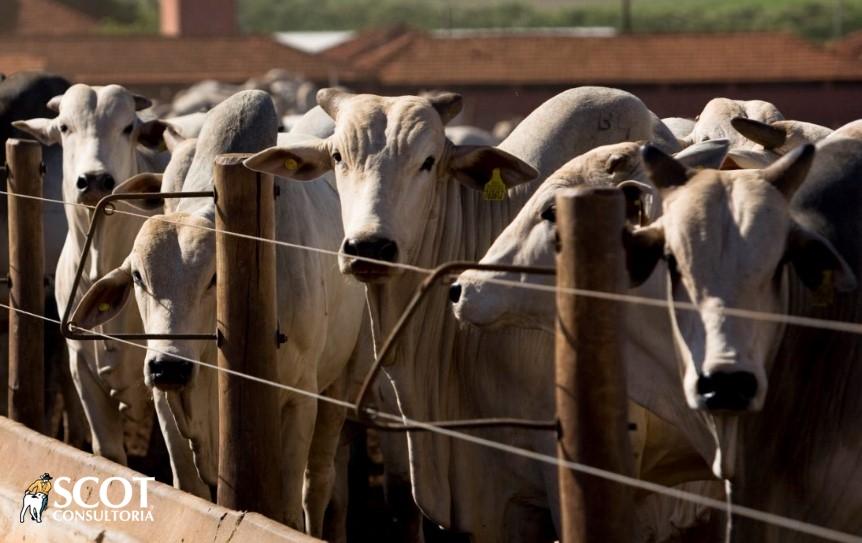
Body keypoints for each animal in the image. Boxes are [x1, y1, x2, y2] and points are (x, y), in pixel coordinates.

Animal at [73, 91, 368, 536]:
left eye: (216, 276)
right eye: (138, 277)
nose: (168, 367)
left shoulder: (300, 400)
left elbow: (286, 508)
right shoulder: (166, 408)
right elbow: (190, 490)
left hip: (341, 381)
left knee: (318, 484)